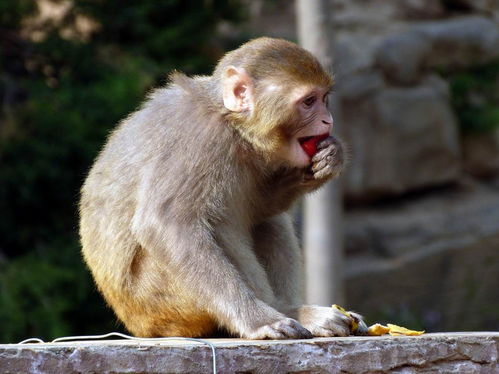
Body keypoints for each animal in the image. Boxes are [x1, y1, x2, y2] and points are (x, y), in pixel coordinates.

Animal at [80, 37, 366, 338]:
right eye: (309, 102)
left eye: (325, 99)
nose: (328, 121)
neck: (232, 123)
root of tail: (139, 327)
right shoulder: (199, 139)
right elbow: (166, 224)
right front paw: (258, 320)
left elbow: (259, 207)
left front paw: (332, 156)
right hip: (161, 303)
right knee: (217, 221)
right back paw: (285, 311)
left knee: (267, 220)